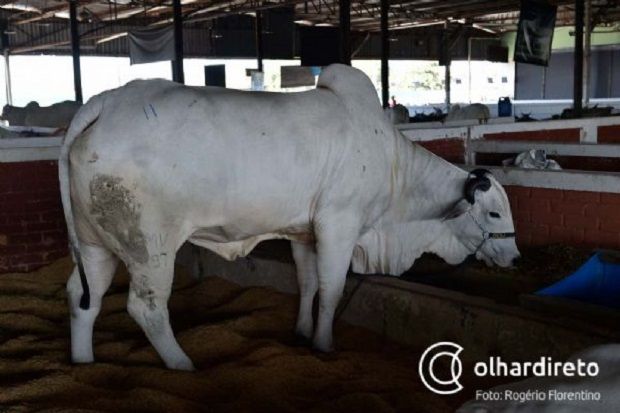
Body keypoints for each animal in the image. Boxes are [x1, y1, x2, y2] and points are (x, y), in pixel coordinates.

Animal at [61, 65, 520, 370]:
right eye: (494, 212)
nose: (515, 258)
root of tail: (107, 102)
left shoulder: (304, 234)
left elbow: (308, 283)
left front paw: (301, 332)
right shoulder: (339, 225)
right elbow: (332, 290)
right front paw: (324, 344)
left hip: (96, 244)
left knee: (84, 297)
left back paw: (83, 362)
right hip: (149, 247)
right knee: (147, 308)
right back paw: (184, 366)